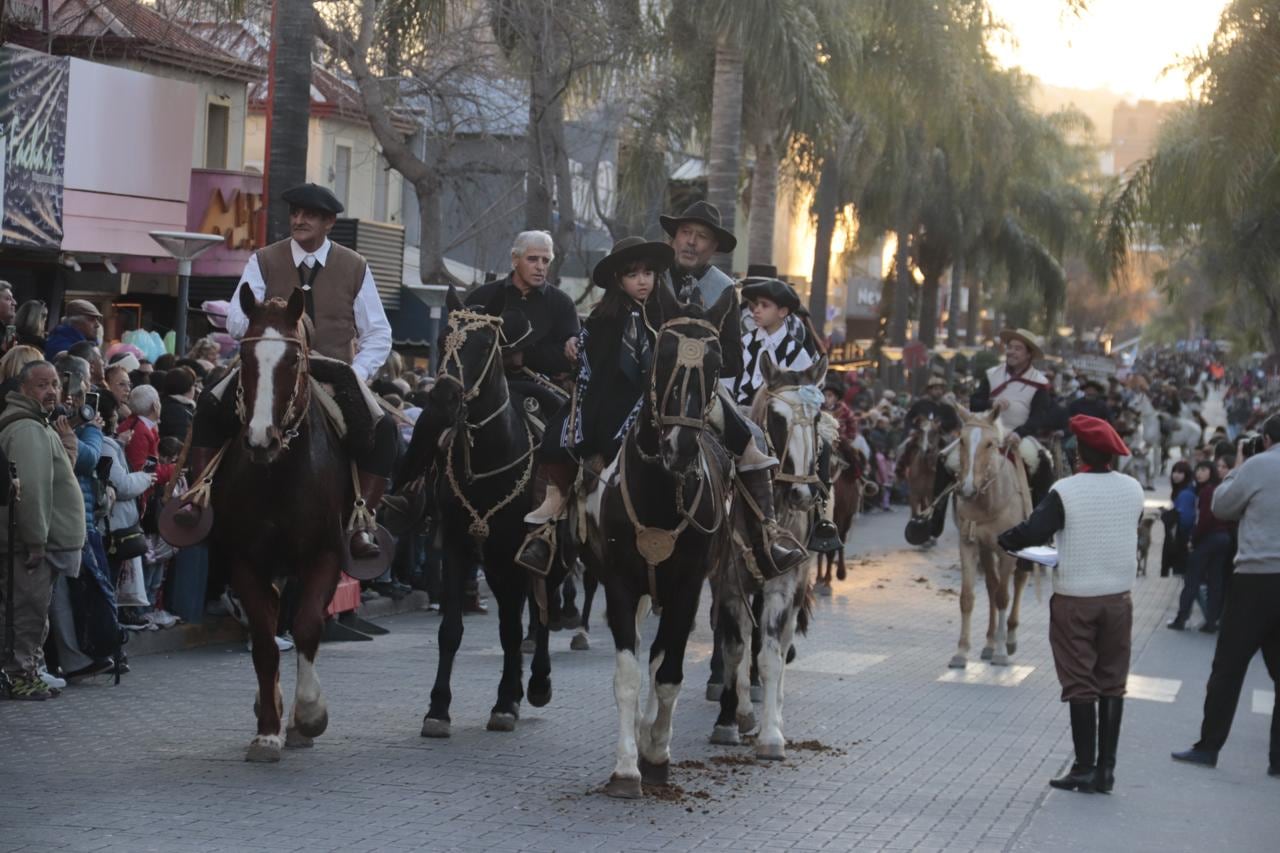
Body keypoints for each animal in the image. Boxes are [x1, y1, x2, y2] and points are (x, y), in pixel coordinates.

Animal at [209, 289, 350, 758]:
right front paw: (269, 730)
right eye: (245, 357)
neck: (279, 476)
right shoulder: (245, 562)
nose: (260, 439)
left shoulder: (326, 556)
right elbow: (266, 643)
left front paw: (309, 715)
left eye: (292, 360)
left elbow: (306, 627)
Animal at [394, 289, 570, 732]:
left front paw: (507, 702)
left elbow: (516, 627)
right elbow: (451, 630)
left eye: (486, 342)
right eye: (444, 340)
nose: (442, 397)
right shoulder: (459, 547)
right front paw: (438, 708)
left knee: (542, 612)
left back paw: (537, 683)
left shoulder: (516, 554)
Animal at [576, 285, 737, 799]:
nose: (679, 447)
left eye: (716, 361)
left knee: (663, 656)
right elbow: (628, 674)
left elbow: (667, 674)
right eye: (661, 357)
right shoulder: (622, 583)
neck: (662, 494)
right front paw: (626, 768)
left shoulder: (687, 586)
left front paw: (656, 754)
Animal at [952, 402, 1029, 666]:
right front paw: (962, 651)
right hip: (986, 549)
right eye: (961, 440)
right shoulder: (968, 543)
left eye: (989, 444)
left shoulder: (1008, 551)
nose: (966, 488)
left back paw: (1010, 637)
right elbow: (968, 597)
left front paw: (1002, 652)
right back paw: (989, 641)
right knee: (991, 586)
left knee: (1018, 581)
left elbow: (1004, 596)